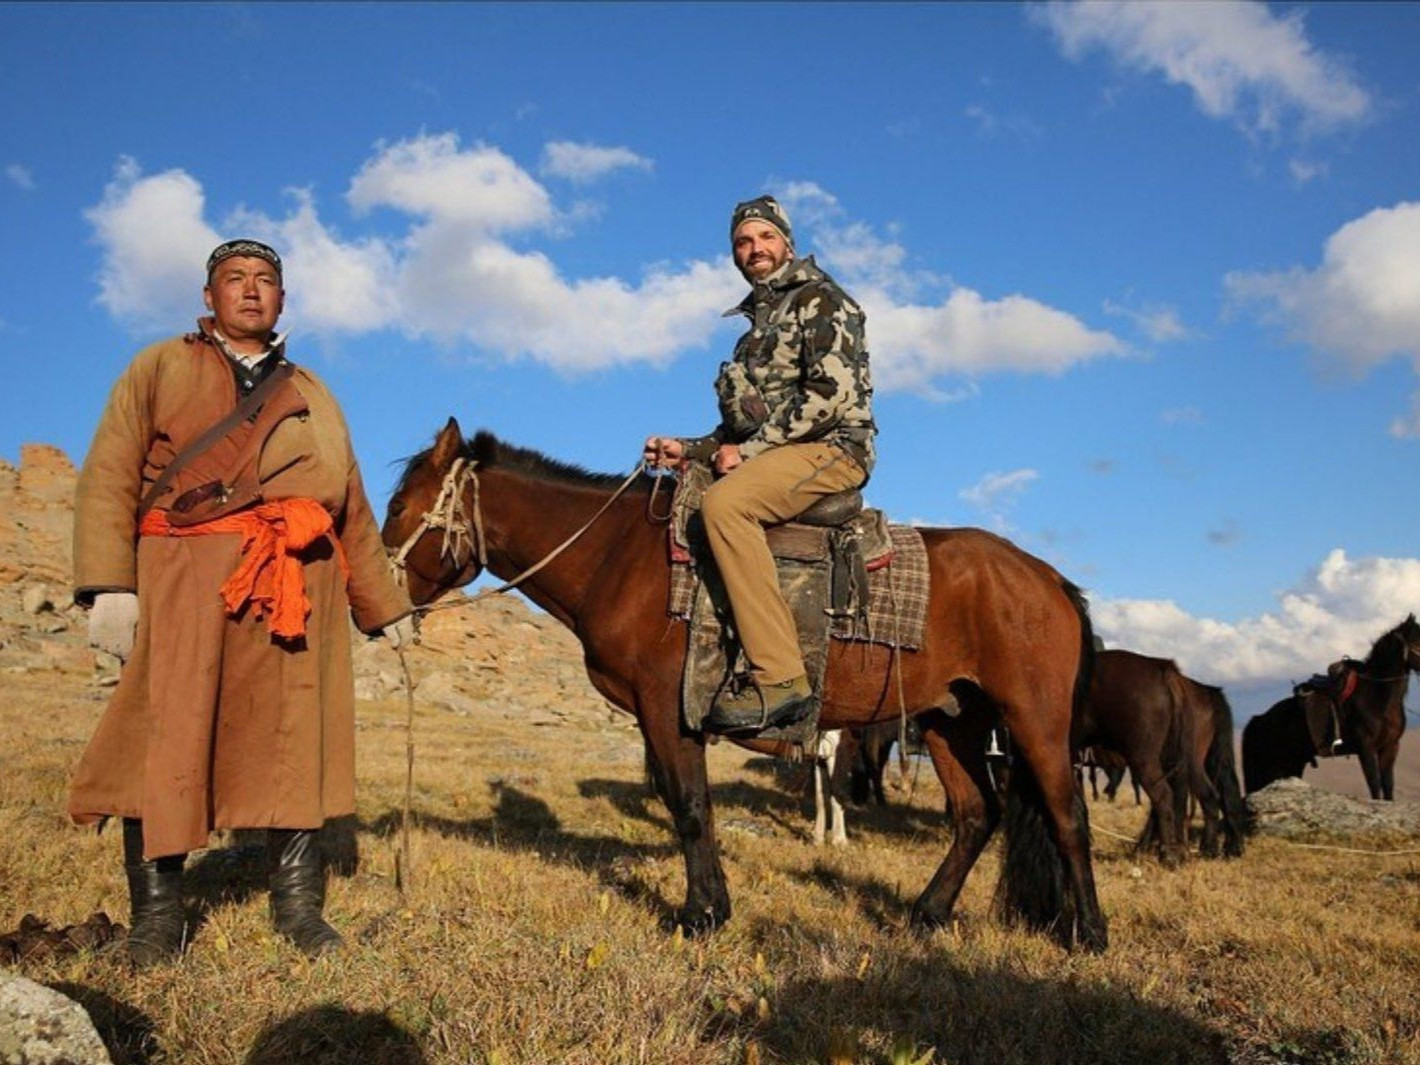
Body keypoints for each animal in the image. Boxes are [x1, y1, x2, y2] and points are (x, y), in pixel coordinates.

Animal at [380, 420, 1108, 949]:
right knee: (975, 815)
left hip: (1033, 718)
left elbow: (690, 808)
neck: (616, 557)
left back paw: (1089, 933)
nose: (369, 604)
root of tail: (1049, 579)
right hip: (949, 720)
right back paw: (925, 914)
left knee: (1067, 816)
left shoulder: (668, 710)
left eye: (396, 505)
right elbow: (690, 806)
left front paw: (701, 914)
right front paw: (709, 906)